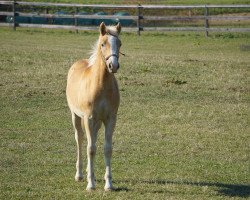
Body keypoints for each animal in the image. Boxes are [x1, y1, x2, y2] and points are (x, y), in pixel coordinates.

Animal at [66, 21, 121, 191]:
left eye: (119, 43)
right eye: (103, 44)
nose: (113, 65)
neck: (100, 85)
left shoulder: (110, 119)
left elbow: (107, 149)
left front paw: (108, 184)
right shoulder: (89, 118)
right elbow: (90, 149)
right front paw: (91, 184)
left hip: (96, 122)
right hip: (76, 116)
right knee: (80, 139)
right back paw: (79, 174)